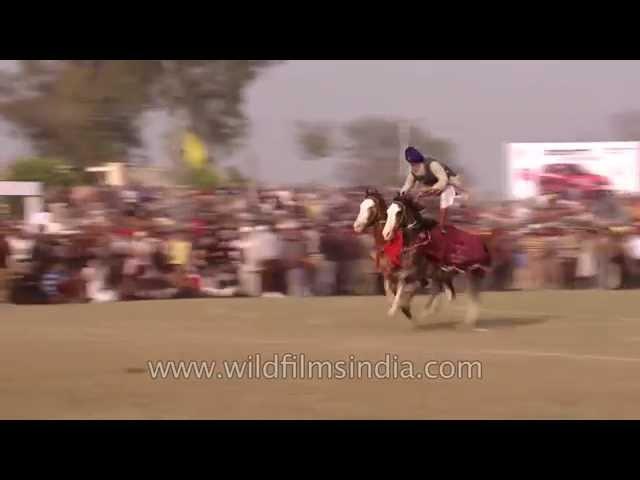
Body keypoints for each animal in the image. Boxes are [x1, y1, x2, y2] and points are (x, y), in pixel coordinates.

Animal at [382, 194, 492, 326]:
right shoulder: (402, 272)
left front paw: (396, 310)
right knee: (449, 293)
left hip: (472, 273)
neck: (418, 240)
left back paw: (467, 321)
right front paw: (400, 308)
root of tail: (482, 243)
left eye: (399, 212)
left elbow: (402, 287)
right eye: (388, 211)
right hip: (447, 275)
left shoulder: (415, 274)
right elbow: (389, 285)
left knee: (473, 296)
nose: (386, 234)